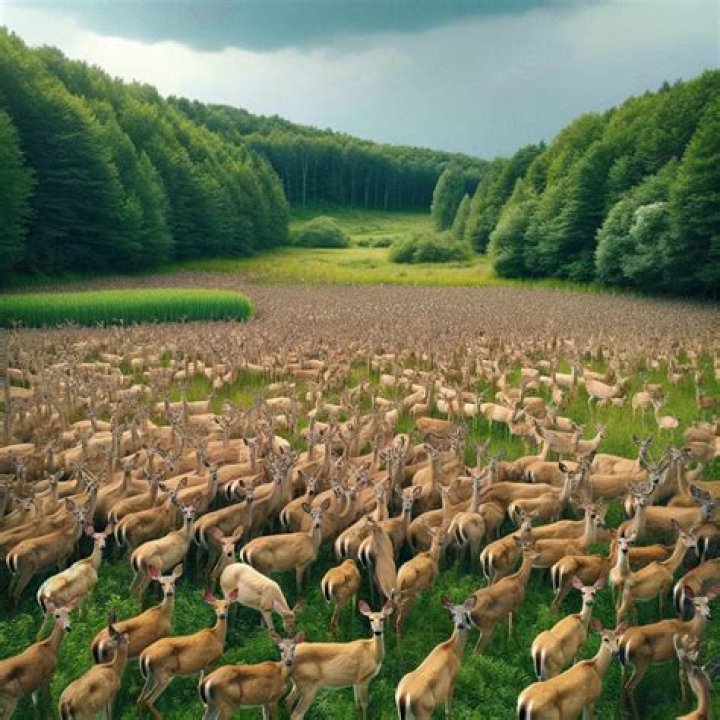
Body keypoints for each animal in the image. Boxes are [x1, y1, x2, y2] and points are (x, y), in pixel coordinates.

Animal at [137, 590, 238, 719]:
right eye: (215, 606)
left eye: (226, 606)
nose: (222, 615)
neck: (216, 637)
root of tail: (144, 654)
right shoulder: (210, 662)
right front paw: (205, 706)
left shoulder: (201, 667)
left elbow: (199, 684)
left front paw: (203, 704)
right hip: (164, 674)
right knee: (148, 700)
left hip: (151, 676)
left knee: (140, 699)